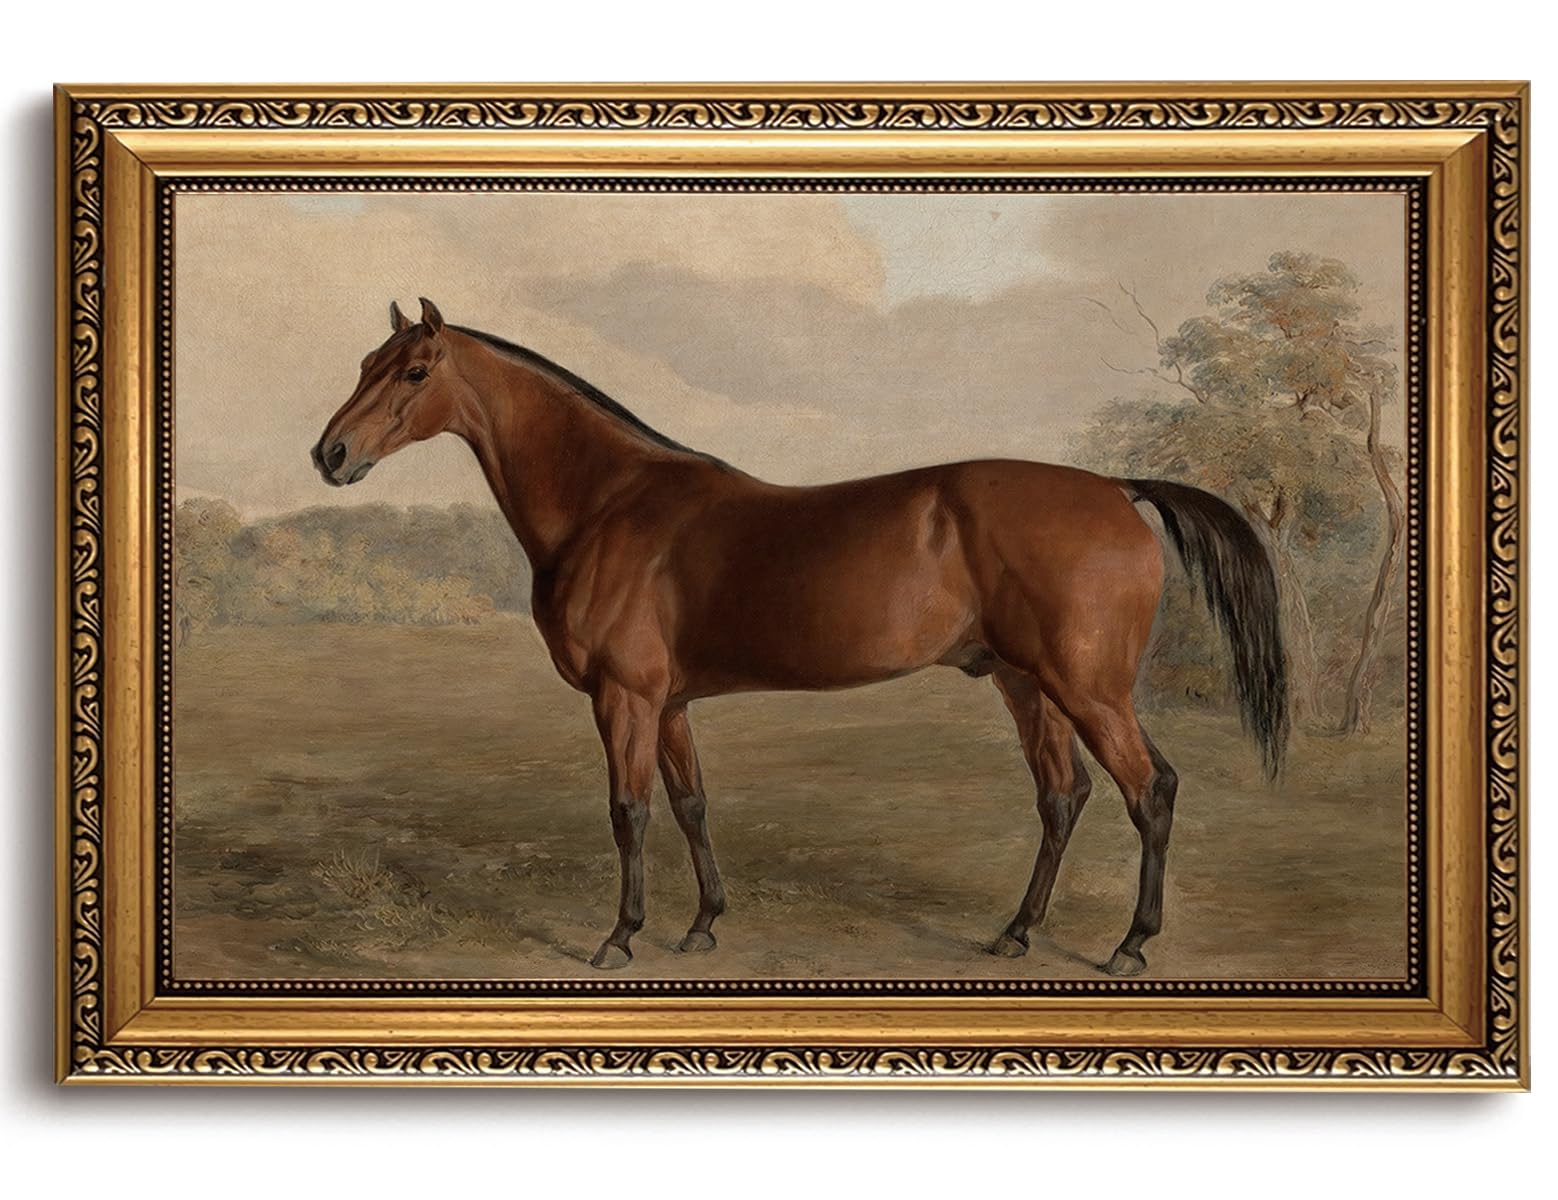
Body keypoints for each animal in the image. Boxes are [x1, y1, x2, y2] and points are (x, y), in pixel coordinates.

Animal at [312, 298, 1288, 975]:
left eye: (415, 371)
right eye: (364, 362)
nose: (330, 455)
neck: (609, 504)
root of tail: (1116, 490)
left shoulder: (625, 698)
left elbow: (630, 812)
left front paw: (620, 937)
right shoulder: (669, 704)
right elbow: (691, 804)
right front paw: (703, 925)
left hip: (1089, 687)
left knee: (1149, 790)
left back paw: (1131, 944)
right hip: (1027, 684)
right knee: (1063, 796)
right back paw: (1015, 933)